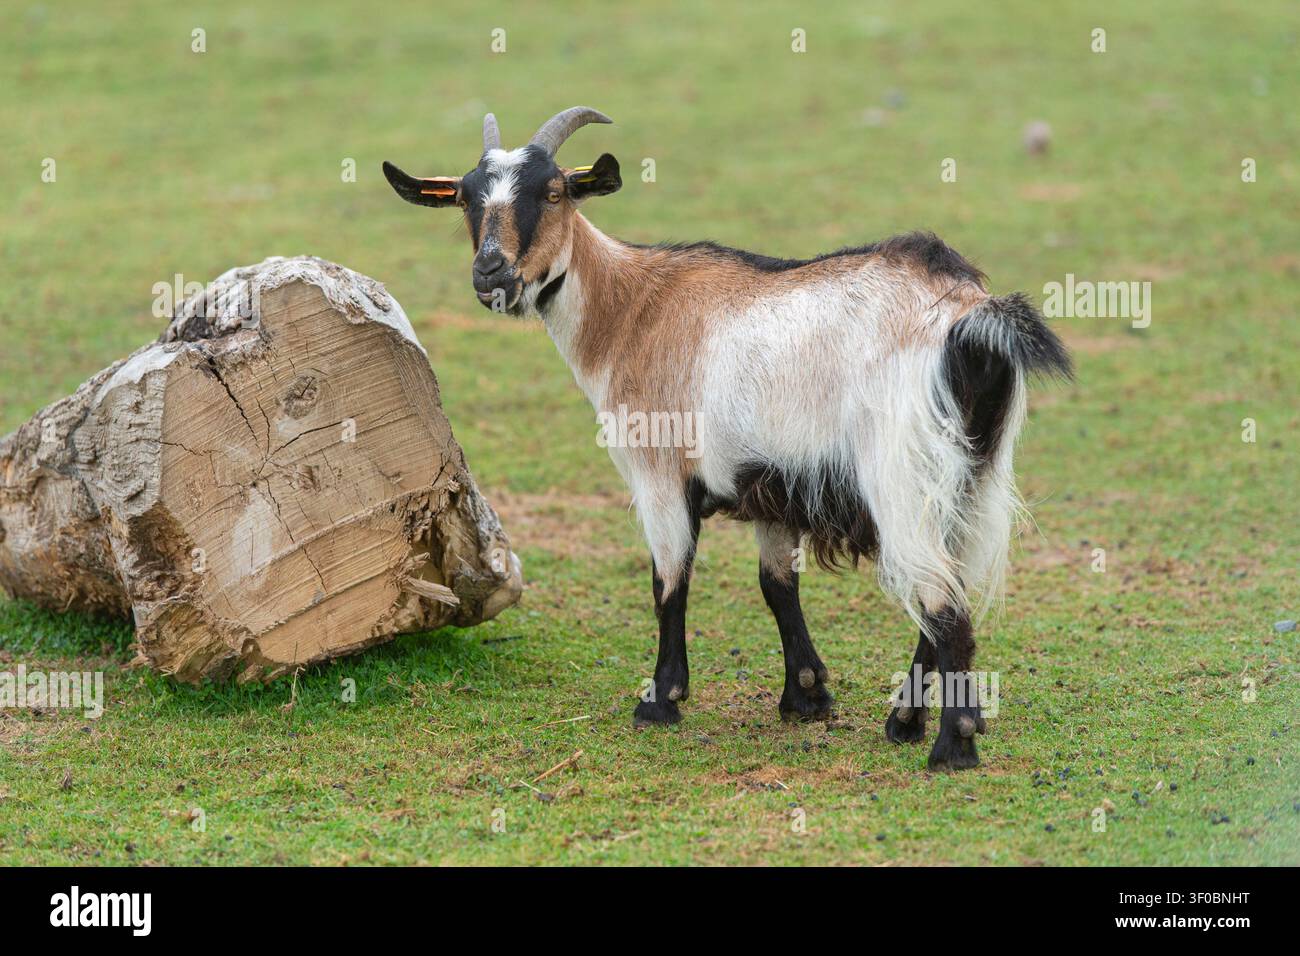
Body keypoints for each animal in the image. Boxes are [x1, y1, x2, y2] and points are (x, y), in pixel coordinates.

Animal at [384, 107, 1071, 770]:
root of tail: (969, 317)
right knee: (948, 590)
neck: (630, 312)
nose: (491, 272)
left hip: (902, 475)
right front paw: (806, 696)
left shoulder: (658, 473)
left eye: (553, 192)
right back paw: (906, 721)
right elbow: (777, 586)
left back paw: (951, 747)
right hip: (973, 479)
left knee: (942, 606)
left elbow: (668, 581)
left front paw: (660, 700)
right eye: (466, 198)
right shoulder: (772, 486)